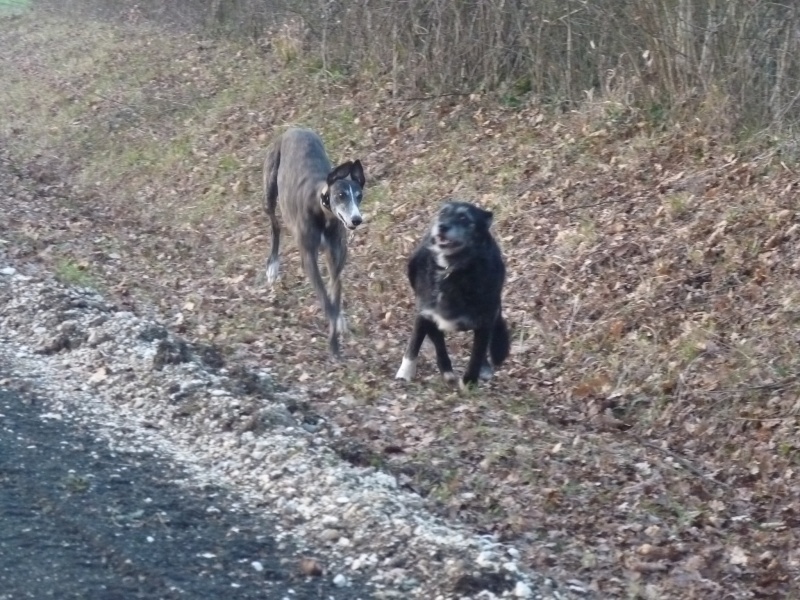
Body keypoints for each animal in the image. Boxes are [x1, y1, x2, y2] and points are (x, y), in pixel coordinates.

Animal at [396, 200, 512, 390]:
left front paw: (469, 384)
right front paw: (406, 374)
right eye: (443, 213)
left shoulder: (485, 321)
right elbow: (420, 344)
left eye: (464, 218)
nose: (442, 226)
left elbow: (476, 356)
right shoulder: (426, 314)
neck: (450, 270)